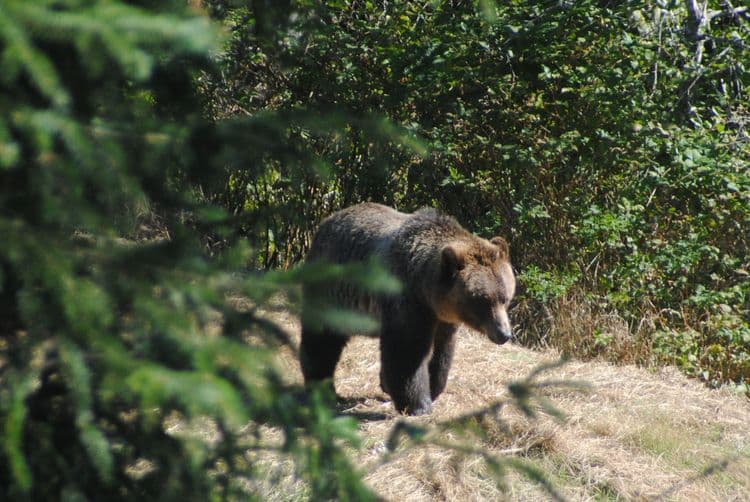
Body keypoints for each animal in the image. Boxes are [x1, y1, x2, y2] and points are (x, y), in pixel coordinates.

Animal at [299, 202, 515, 415]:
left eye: (505, 298)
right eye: (482, 300)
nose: (504, 334)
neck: (426, 291)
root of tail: (325, 223)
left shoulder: (444, 319)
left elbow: (442, 352)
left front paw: (434, 388)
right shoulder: (406, 302)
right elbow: (407, 352)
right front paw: (419, 405)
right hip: (332, 291)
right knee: (322, 340)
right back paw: (323, 388)